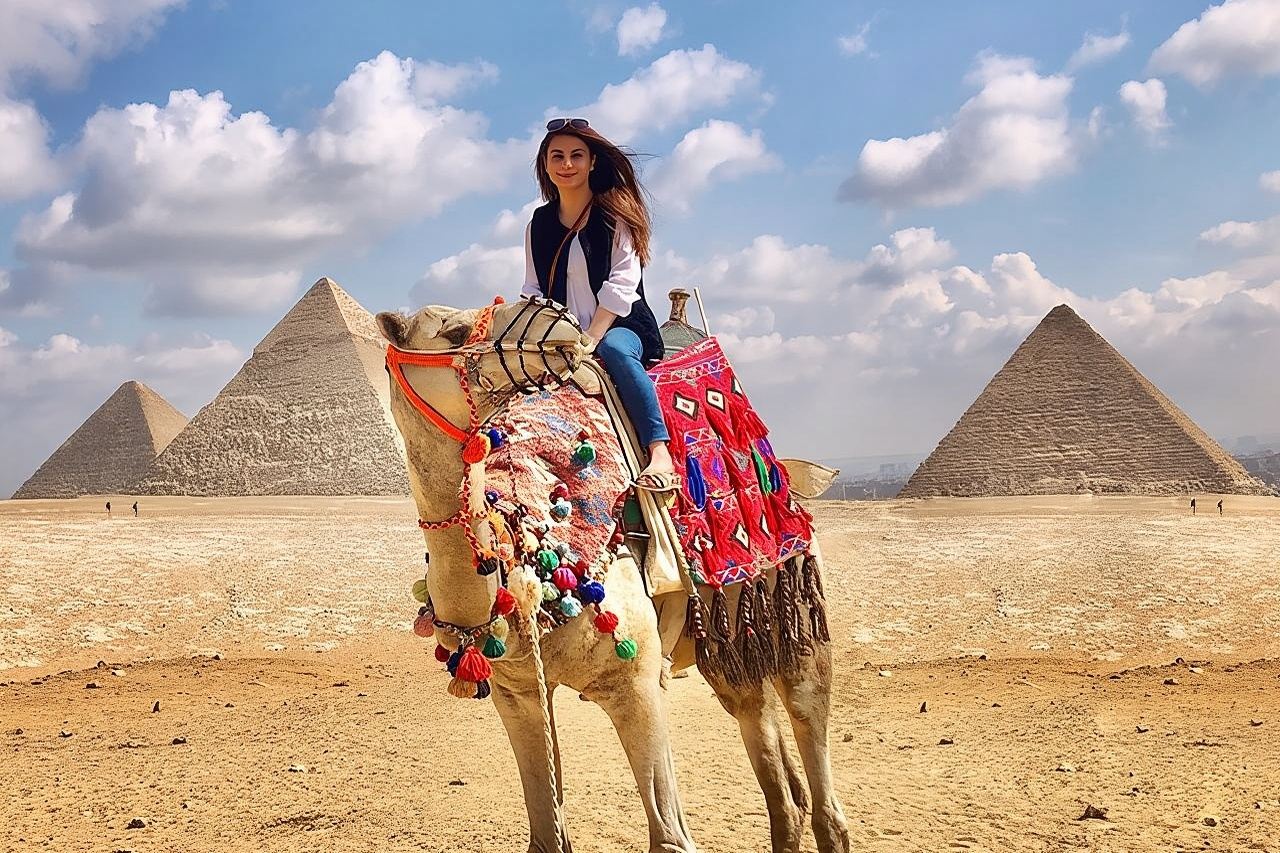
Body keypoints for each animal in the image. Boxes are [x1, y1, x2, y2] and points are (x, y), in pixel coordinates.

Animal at [376, 297, 849, 853]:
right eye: (451, 332)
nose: (555, 319)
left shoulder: (635, 683)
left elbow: (670, 838)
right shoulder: (519, 695)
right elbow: (546, 835)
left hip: (791, 598)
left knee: (808, 723)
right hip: (730, 640)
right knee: (766, 746)